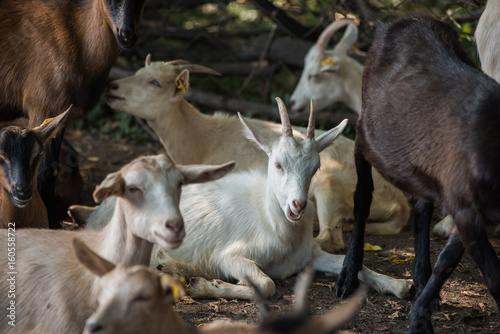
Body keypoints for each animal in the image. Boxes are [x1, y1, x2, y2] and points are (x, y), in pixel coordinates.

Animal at [104, 55, 410, 253]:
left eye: (154, 82)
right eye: (138, 73)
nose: (112, 87)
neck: (206, 138)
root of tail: (400, 202)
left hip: (330, 186)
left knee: (330, 238)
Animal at [334, 13, 500, 334]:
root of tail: (396, 22)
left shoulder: (468, 207)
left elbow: (447, 259)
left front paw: (421, 312)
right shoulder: (466, 203)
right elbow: (494, 278)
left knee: (422, 206)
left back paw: (421, 279)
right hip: (364, 132)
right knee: (362, 198)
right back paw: (348, 275)